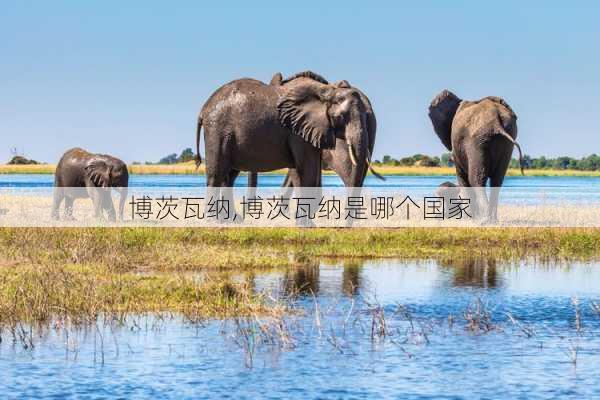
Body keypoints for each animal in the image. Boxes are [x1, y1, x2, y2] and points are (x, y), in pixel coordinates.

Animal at [428, 90, 524, 222]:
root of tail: (496, 120)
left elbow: (462, 175)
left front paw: (468, 218)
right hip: (507, 138)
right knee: (497, 180)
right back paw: (492, 220)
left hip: (476, 140)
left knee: (476, 178)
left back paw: (484, 220)